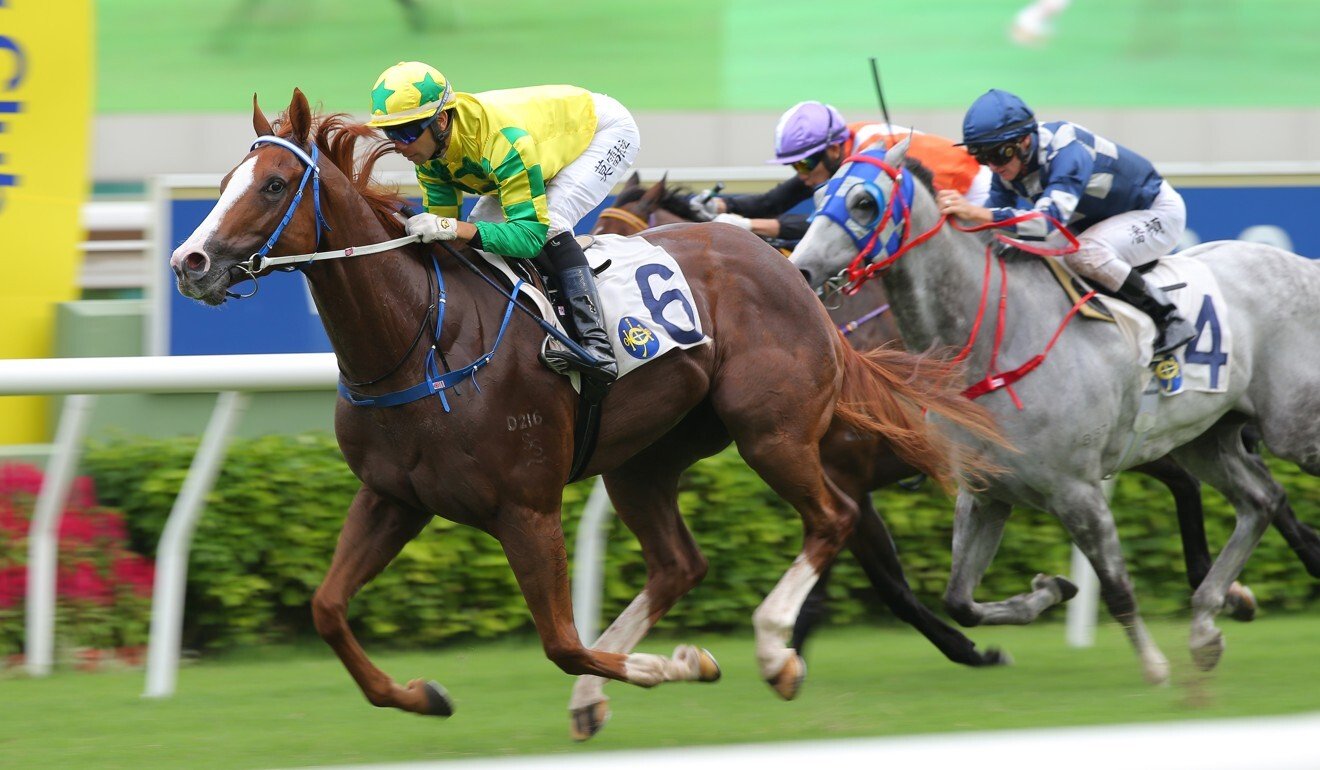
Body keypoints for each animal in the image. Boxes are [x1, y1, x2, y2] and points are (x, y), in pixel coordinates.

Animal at [167, 91, 997, 739]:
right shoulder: (393, 497)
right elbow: (327, 608)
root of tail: (790, 271)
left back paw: (773, 651)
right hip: (646, 458)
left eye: (274, 185)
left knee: (831, 518)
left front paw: (682, 663)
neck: (419, 342)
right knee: (681, 563)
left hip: (774, 431)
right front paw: (420, 696)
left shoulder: (525, 508)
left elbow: (562, 641)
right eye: (225, 182)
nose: (188, 263)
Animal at [792, 141, 1320, 681]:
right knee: (1260, 501)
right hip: (1205, 438)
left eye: (863, 202)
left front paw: (1153, 666)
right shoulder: (984, 491)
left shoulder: (1077, 491)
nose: (802, 270)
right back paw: (1206, 623)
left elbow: (1116, 587)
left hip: (1294, 428)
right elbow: (959, 600)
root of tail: (1305, 264)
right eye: (821, 194)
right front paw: (1049, 590)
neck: (996, 338)